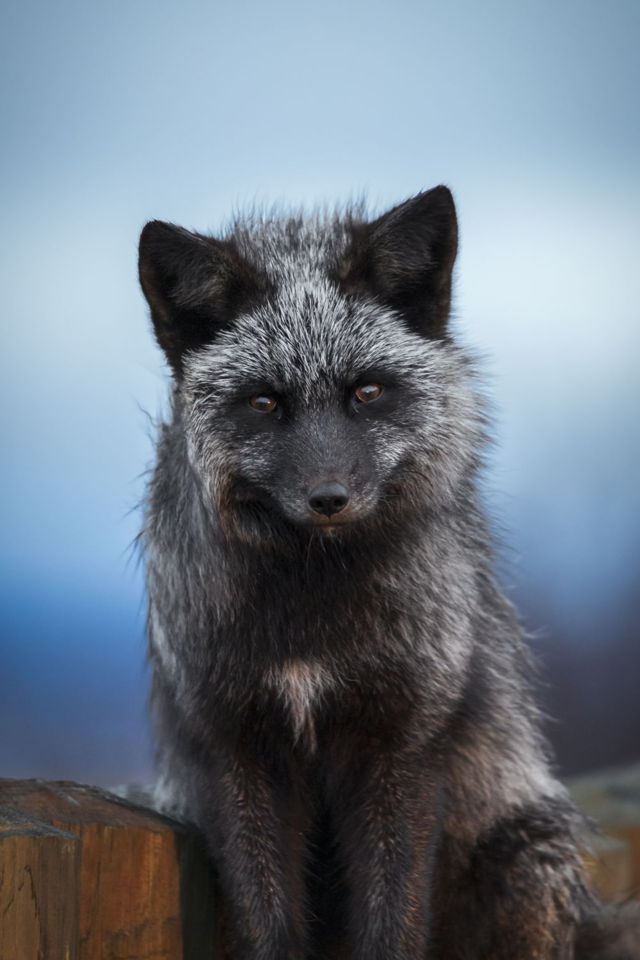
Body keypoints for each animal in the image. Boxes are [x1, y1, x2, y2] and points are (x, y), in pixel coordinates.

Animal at [138, 187, 639, 959]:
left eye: (367, 392)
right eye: (264, 402)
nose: (328, 499)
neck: (311, 614)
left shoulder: (400, 745)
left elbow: (392, 919)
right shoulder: (237, 747)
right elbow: (269, 923)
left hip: (526, 860)